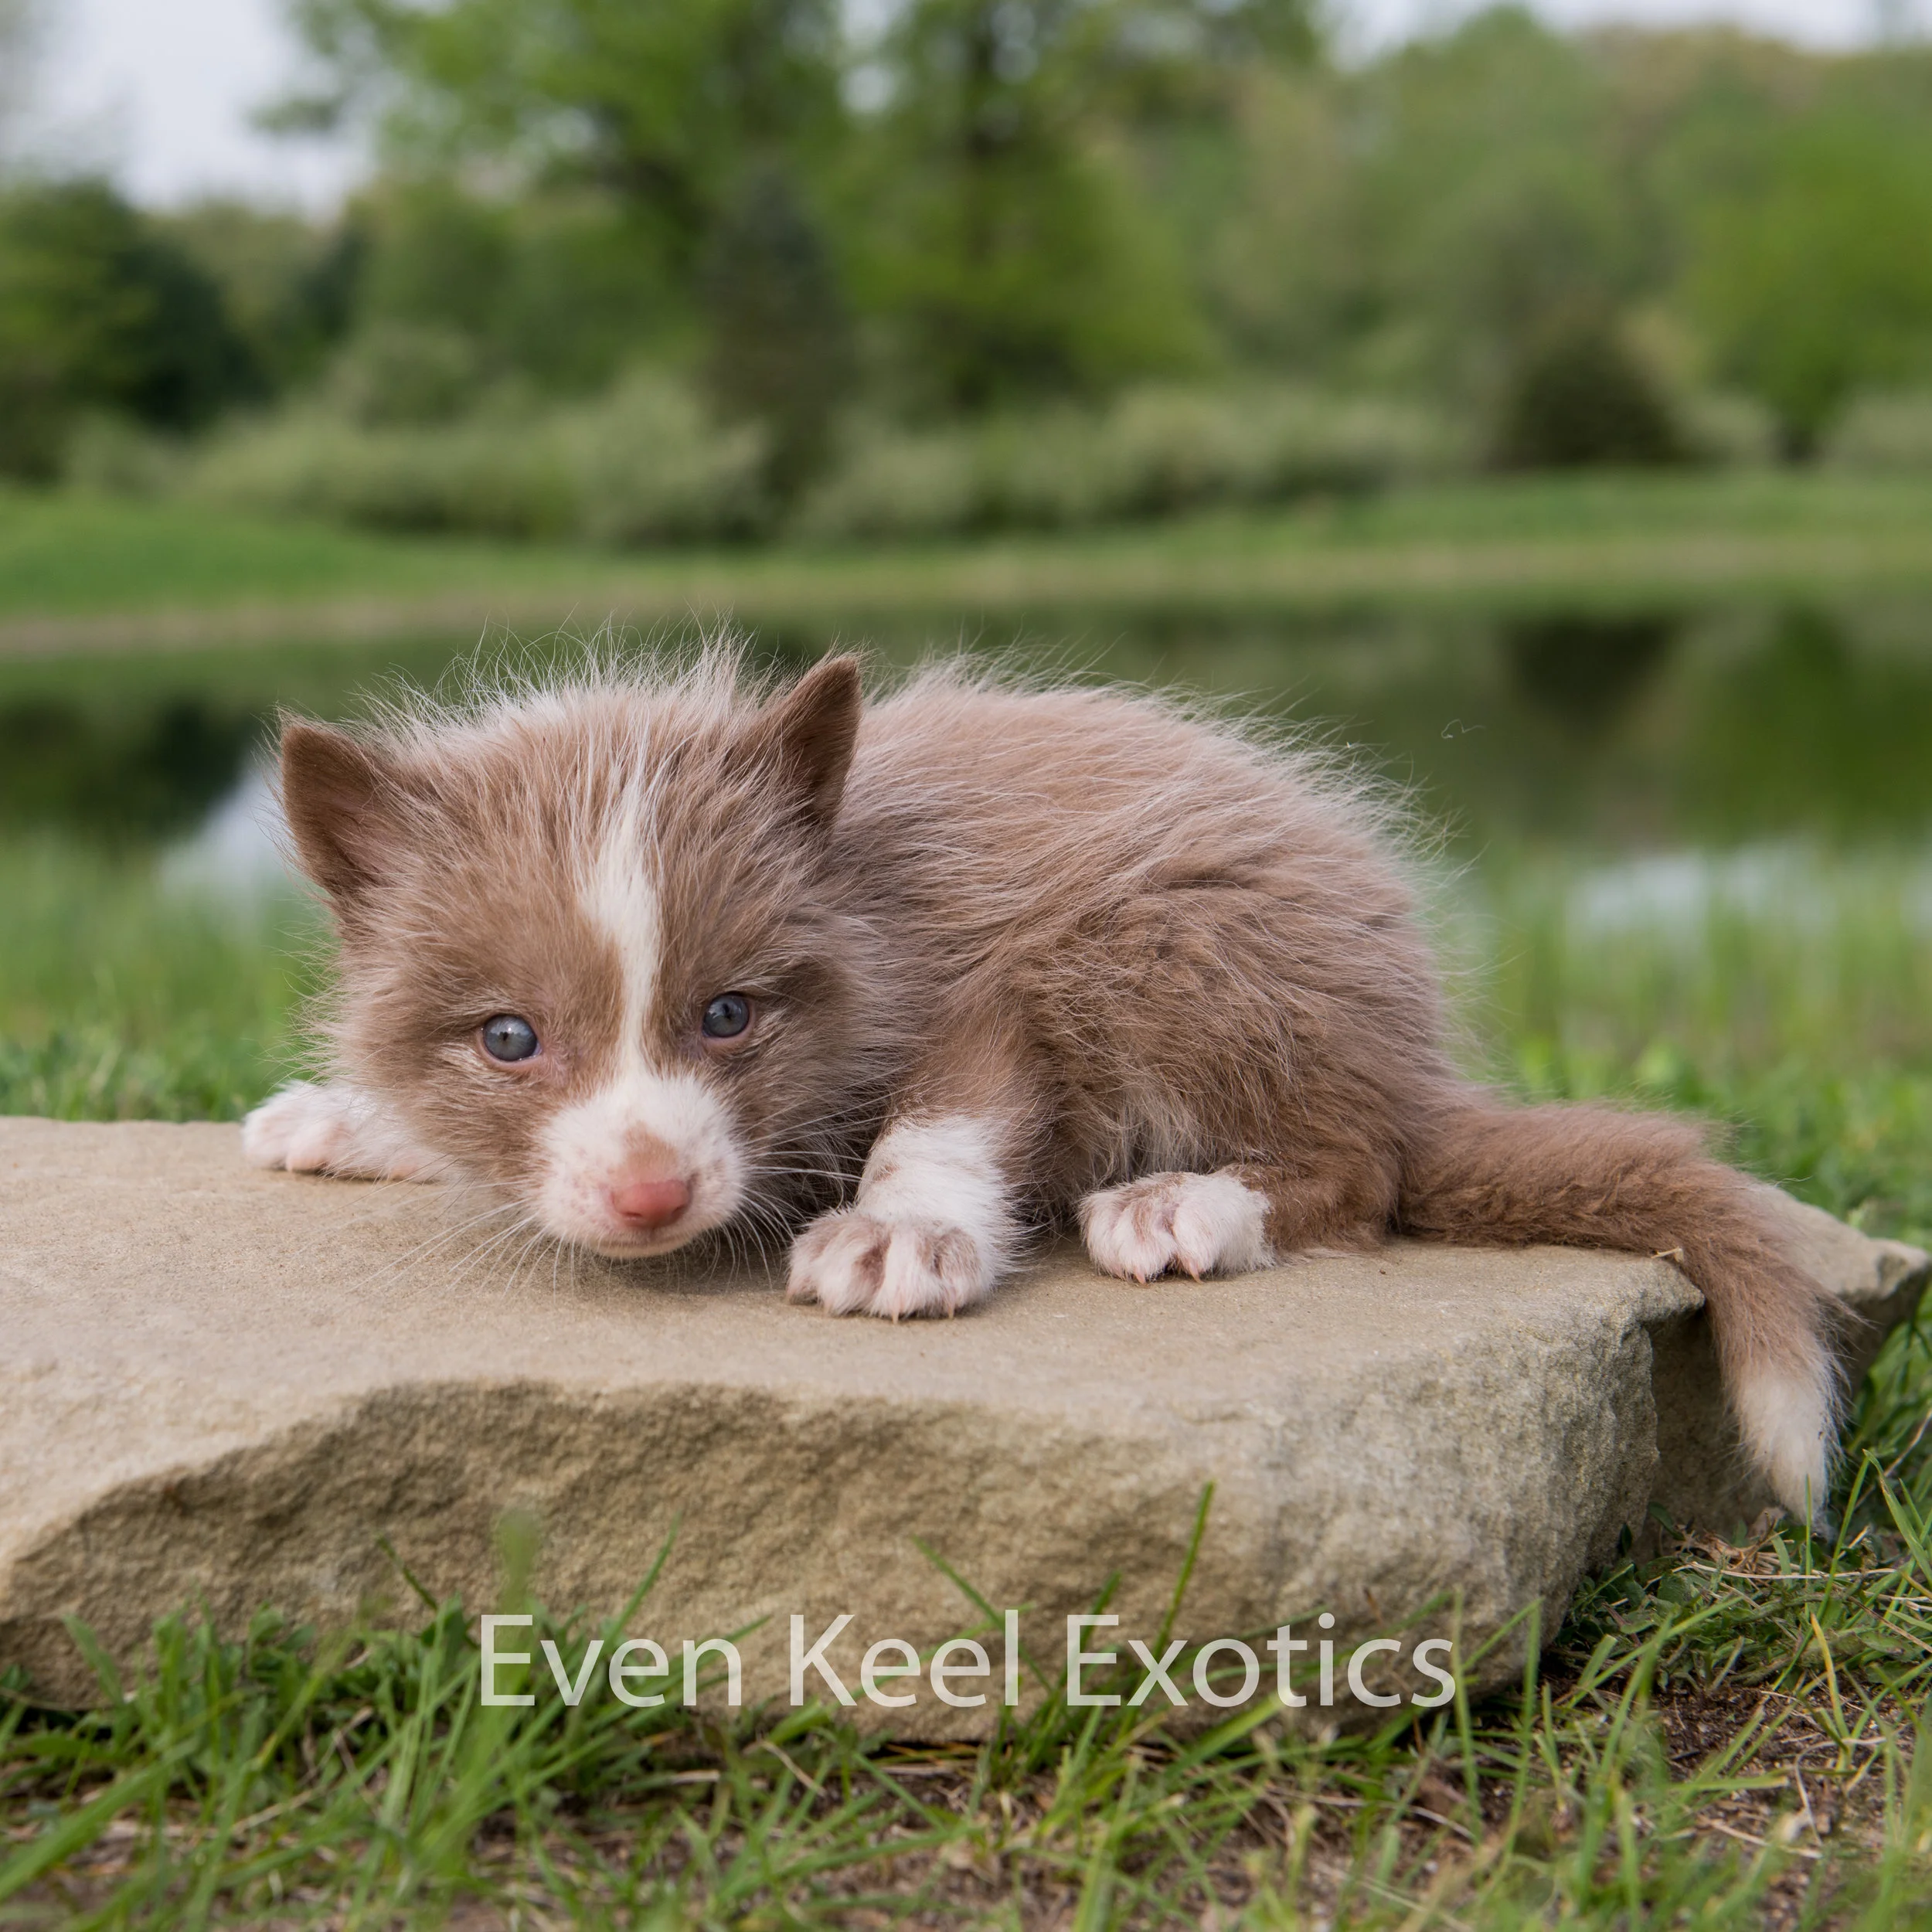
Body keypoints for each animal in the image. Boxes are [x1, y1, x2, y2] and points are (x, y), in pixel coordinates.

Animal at [243, 648, 1843, 1523]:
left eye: (729, 1014)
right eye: (509, 1041)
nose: (650, 1193)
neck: (863, 885)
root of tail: (1410, 1050)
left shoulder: (999, 974)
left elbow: (945, 1111)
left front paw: (899, 1233)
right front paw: (354, 1116)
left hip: (1179, 935)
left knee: (1367, 1174)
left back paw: (1192, 1205)